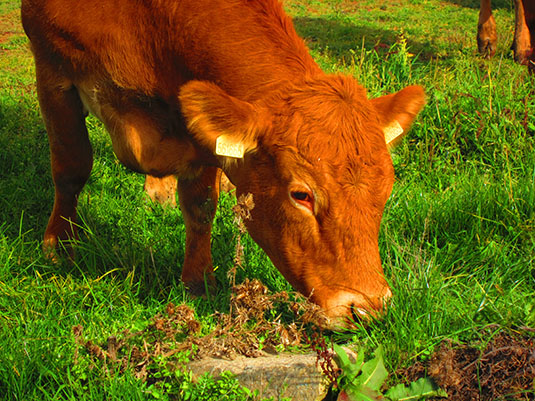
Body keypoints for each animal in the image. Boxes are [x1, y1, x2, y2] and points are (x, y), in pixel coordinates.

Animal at [21, 0, 428, 324]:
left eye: (386, 192)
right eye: (301, 195)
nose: (368, 307)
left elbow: (201, 205)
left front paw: (198, 281)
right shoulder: (53, 71)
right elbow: (71, 167)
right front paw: (59, 246)